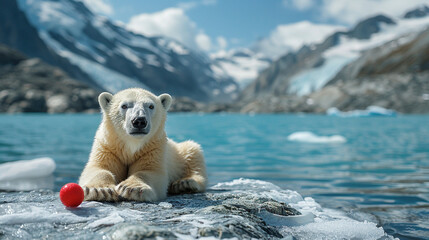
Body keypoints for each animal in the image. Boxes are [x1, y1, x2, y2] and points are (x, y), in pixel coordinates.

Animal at [79, 87, 208, 202]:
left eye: (151, 106)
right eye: (124, 105)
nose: (139, 121)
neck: (132, 145)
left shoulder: (153, 148)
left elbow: (150, 171)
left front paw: (131, 188)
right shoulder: (107, 147)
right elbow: (99, 168)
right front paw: (100, 190)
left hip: (180, 152)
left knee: (193, 152)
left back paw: (184, 183)